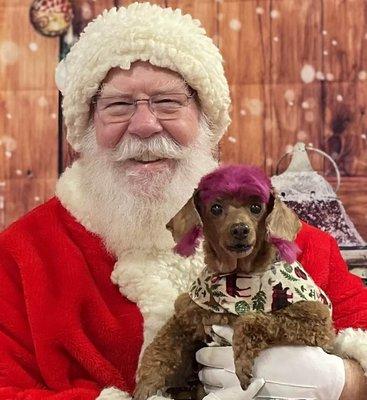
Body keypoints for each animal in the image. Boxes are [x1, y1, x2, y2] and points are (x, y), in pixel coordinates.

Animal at [0, 3, 366, 400]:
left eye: (257, 206)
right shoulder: (189, 315)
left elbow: (255, 321)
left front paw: (244, 364)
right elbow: (160, 349)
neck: (234, 280)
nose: (240, 231)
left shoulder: (312, 321)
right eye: (216, 207)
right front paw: (146, 388)